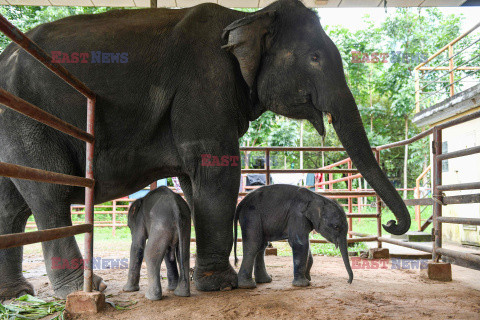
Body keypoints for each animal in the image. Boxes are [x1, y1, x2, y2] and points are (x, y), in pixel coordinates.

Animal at [0, 0, 410, 298]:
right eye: (315, 58)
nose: (391, 224)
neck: (246, 17)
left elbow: (194, 181)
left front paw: (202, 280)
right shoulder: (204, 85)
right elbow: (217, 170)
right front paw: (220, 285)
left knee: (12, 208)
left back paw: (18, 293)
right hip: (26, 120)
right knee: (48, 195)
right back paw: (84, 290)